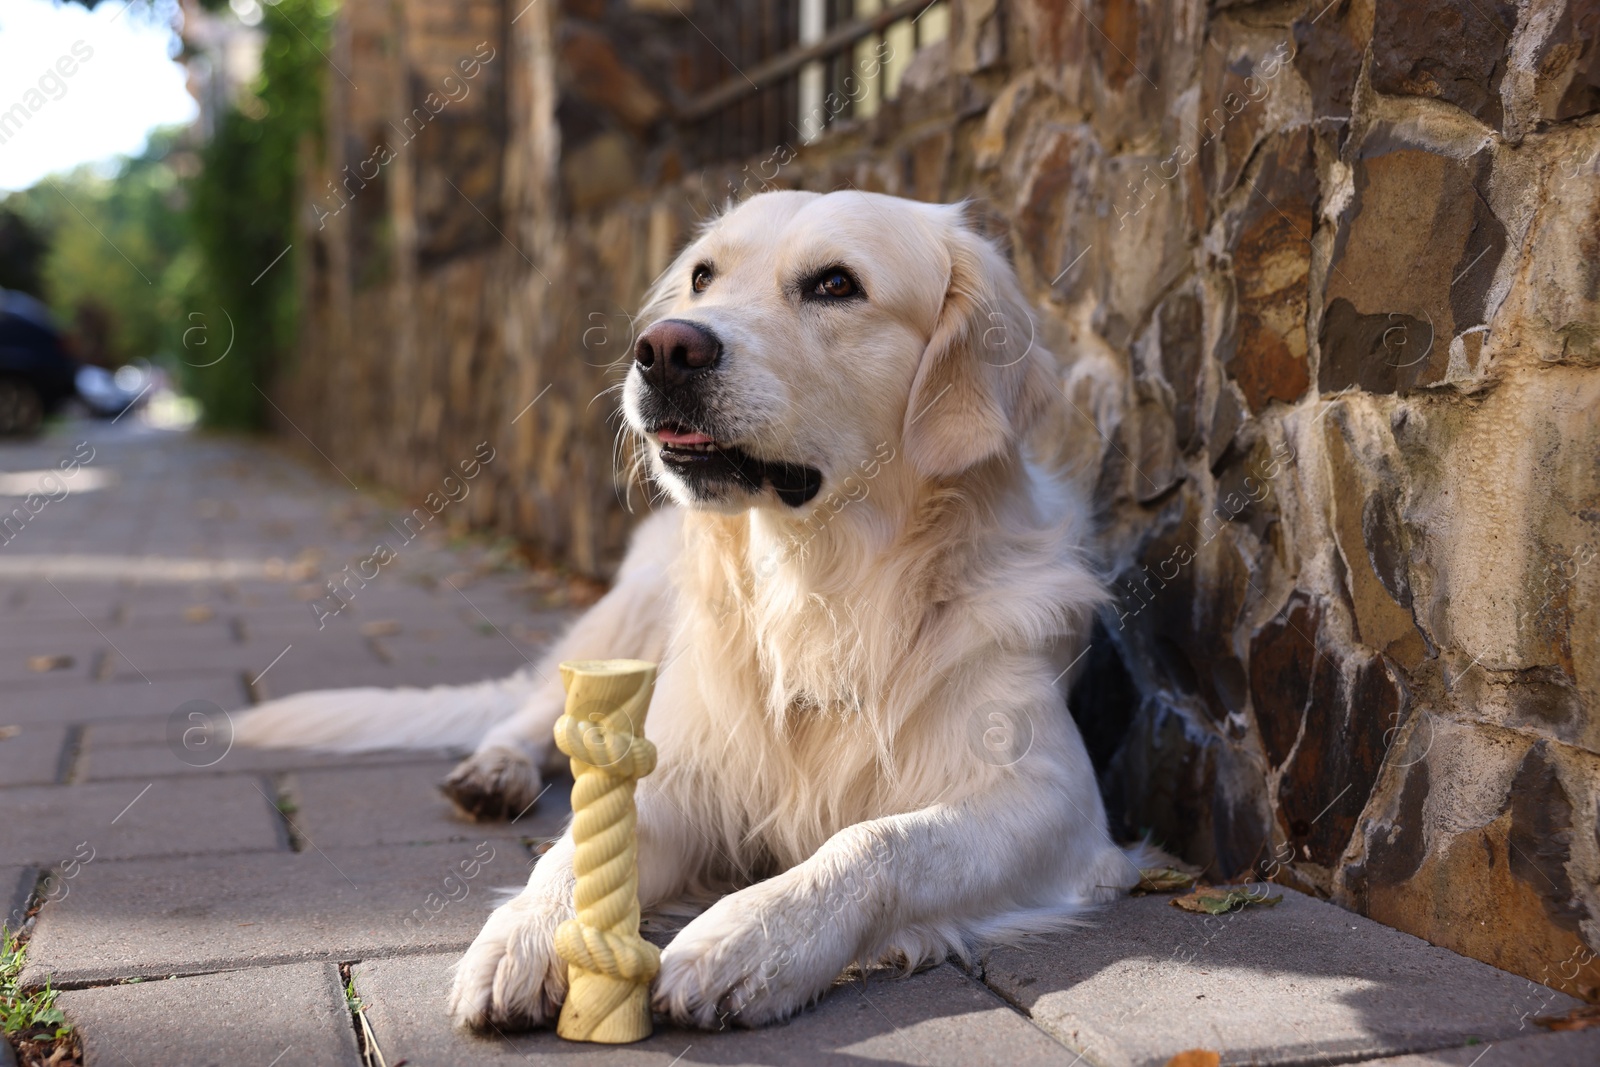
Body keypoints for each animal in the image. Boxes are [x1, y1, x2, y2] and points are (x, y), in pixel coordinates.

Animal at [233, 191, 1152, 1036]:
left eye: (836, 284)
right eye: (704, 276)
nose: (665, 348)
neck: (820, 581)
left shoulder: (1054, 801)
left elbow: (877, 840)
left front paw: (743, 939)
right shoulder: (687, 768)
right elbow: (577, 848)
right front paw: (523, 932)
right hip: (634, 612)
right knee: (539, 711)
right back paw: (496, 769)